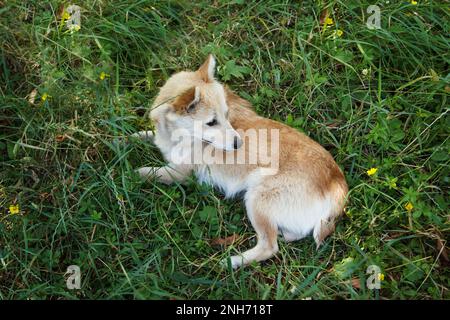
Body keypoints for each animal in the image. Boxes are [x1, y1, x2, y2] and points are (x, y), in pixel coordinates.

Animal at [134, 55, 348, 268]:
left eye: (226, 115)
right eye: (212, 122)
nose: (239, 143)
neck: (178, 134)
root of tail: (336, 182)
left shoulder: (179, 174)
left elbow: (146, 172)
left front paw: (128, 177)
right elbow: (142, 136)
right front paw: (127, 139)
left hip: (256, 196)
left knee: (269, 247)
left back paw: (232, 261)